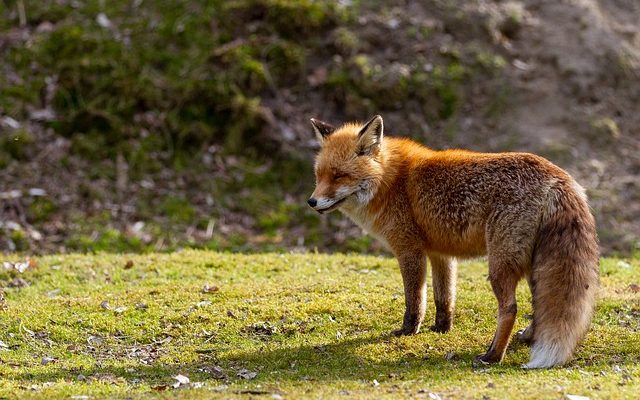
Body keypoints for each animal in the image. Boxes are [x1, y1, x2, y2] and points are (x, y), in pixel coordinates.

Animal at [308, 114, 596, 368]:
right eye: (319, 176)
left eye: (338, 175)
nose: (311, 201)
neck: (390, 181)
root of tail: (558, 176)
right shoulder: (440, 253)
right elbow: (443, 297)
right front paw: (441, 328)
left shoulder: (409, 249)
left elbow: (415, 299)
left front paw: (408, 330)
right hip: (536, 264)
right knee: (539, 305)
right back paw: (527, 337)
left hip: (500, 265)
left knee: (510, 309)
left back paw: (492, 355)